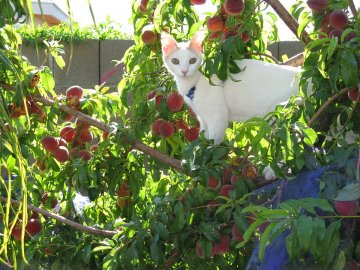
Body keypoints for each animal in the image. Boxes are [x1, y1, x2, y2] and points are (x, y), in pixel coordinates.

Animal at [161, 32, 300, 144]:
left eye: (192, 61)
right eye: (175, 61)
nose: (184, 71)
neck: (194, 82)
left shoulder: (218, 117)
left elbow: (212, 143)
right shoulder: (203, 118)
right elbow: (204, 136)